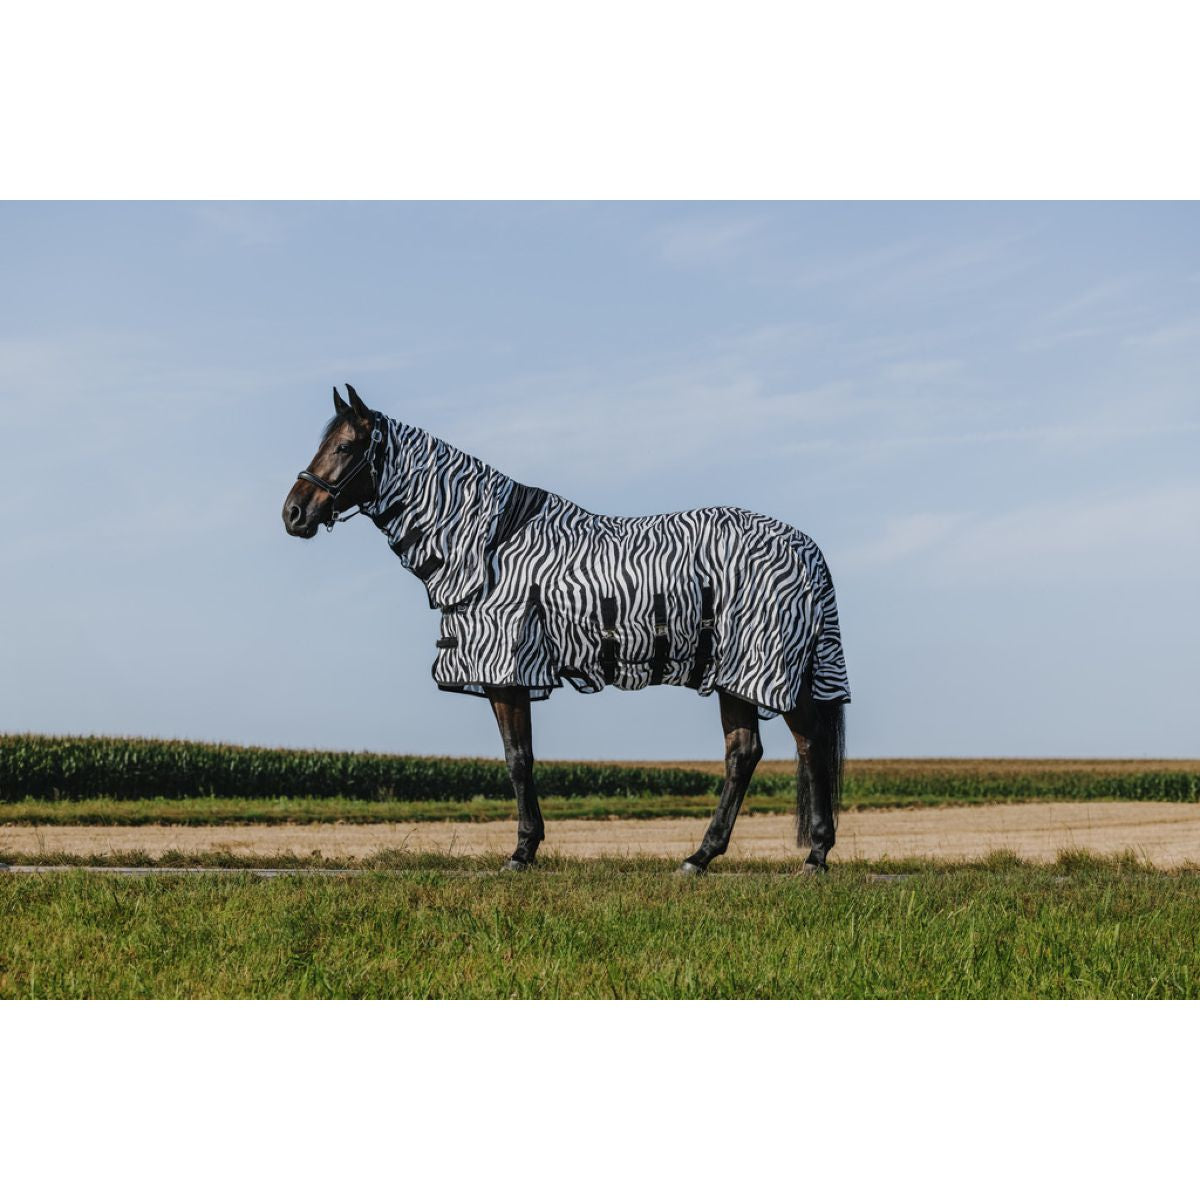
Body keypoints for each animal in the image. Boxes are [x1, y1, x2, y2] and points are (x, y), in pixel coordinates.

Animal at [283, 385, 850, 874]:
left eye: (345, 445)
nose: (293, 513)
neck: (489, 544)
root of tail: (807, 548)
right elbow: (522, 758)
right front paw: (527, 847)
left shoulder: (508, 672)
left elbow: (518, 759)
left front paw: (522, 851)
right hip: (736, 674)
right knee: (745, 753)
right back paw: (703, 856)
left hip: (763, 667)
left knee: (806, 745)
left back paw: (812, 856)